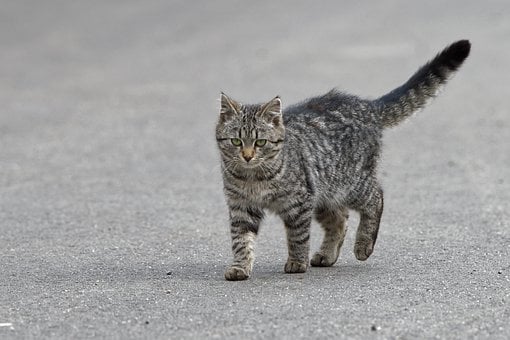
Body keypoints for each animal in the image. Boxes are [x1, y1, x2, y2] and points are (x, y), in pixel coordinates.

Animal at [214, 39, 470, 280]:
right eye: (236, 141)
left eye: (260, 142)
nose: (247, 156)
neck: (252, 177)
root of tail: (367, 106)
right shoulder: (241, 207)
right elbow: (241, 241)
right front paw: (240, 267)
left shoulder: (299, 202)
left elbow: (298, 236)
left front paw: (297, 262)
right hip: (325, 192)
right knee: (340, 219)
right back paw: (327, 255)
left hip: (351, 184)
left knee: (376, 197)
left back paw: (363, 245)